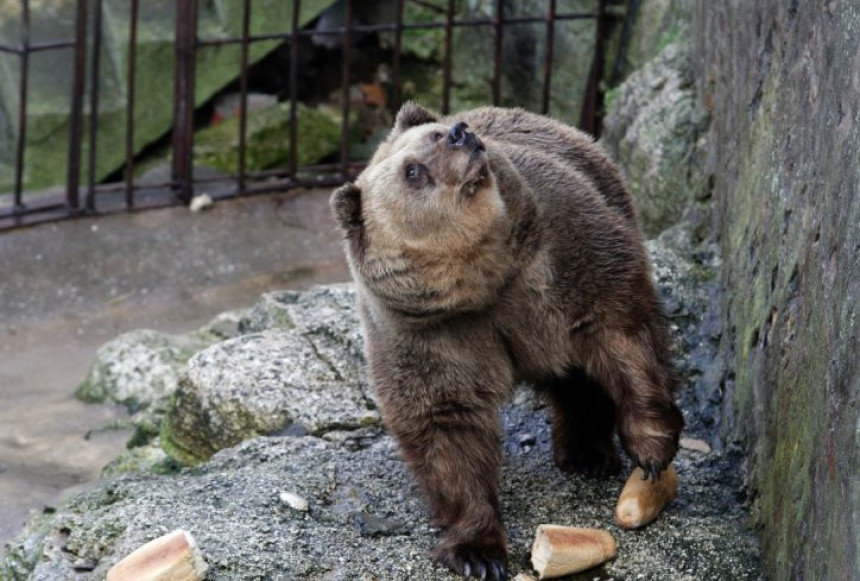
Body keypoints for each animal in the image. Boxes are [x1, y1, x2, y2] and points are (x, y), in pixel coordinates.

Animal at [330, 105, 684, 580]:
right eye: (413, 171)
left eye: (435, 133)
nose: (460, 134)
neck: (483, 277)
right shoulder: (426, 333)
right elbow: (446, 426)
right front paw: (478, 552)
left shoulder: (565, 254)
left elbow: (621, 331)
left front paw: (651, 449)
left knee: (580, 373)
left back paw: (587, 454)